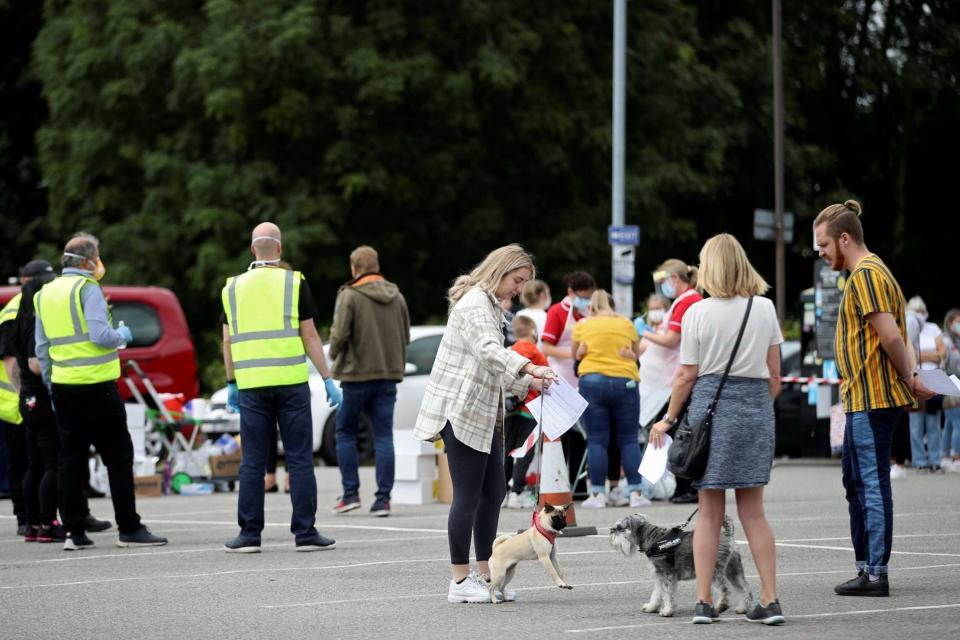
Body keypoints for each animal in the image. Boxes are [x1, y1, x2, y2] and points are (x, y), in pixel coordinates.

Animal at [612, 516, 752, 616]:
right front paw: (651, 607)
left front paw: (667, 611)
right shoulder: (659, 576)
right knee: (744, 589)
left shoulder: (667, 575)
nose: (611, 530)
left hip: (715, 571)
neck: (651, 537)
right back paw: (743, 608)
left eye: (620, 527)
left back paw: (720, 607)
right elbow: (657, 593)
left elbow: (667, 594)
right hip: (733, 571)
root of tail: (728, 536)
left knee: (725, 589)